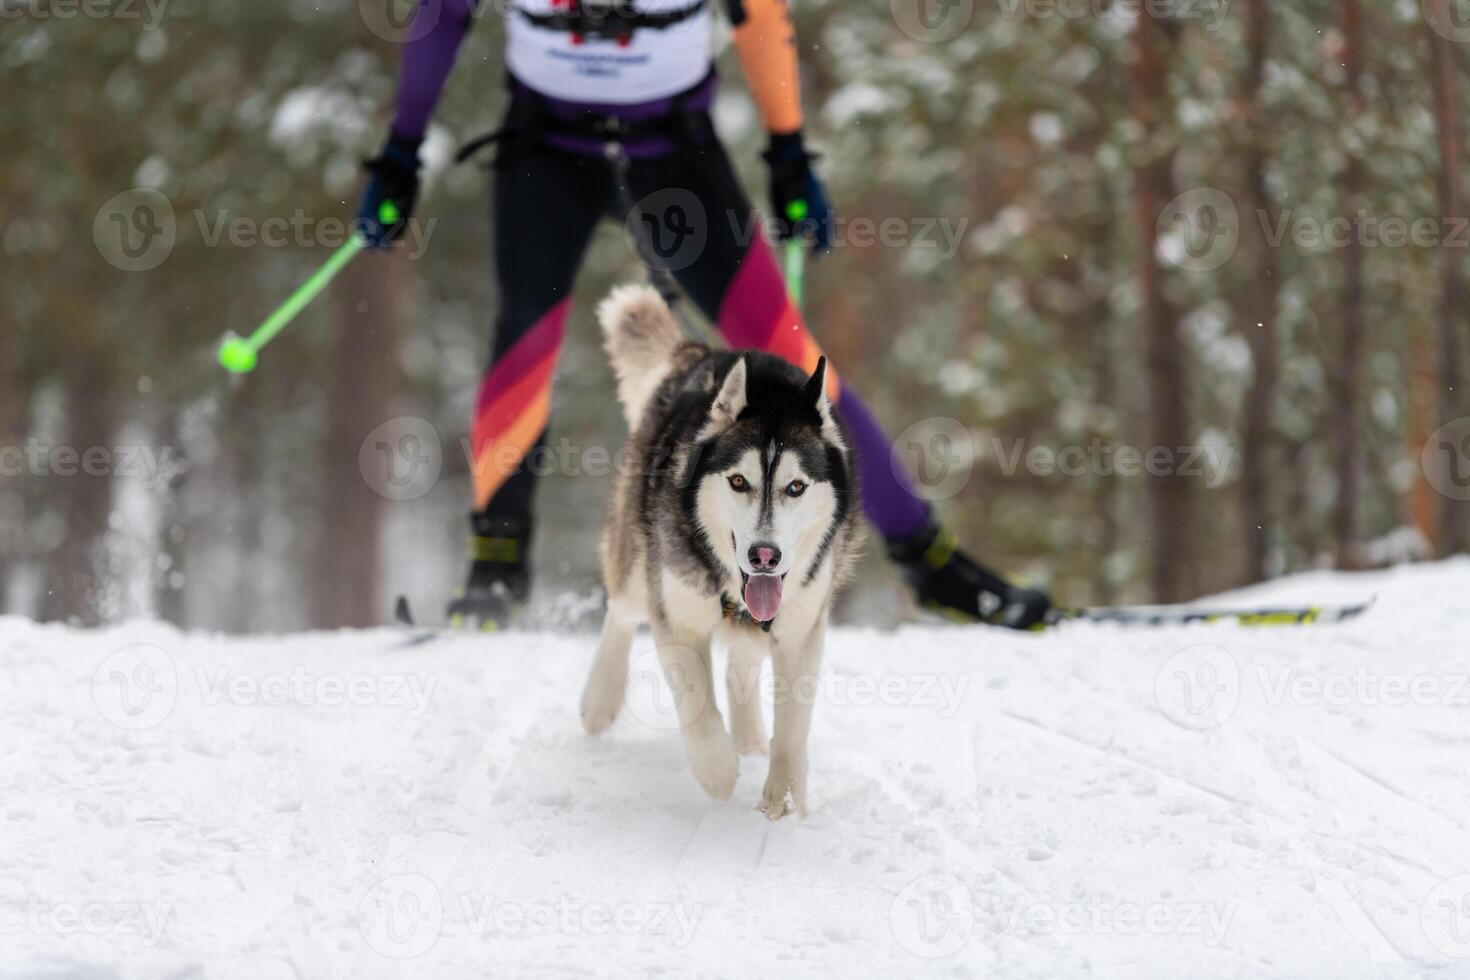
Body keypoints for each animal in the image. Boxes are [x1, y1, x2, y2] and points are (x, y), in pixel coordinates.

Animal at [579, 285, 858, 822]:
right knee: (621, 610)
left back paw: (750, 740)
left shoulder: (801, 630)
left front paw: (783, 796)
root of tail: (700, 353)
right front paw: (719, 772)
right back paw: (600, 699)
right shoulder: (678, 616)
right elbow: (698, 707)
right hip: (640, 560)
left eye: (796, 486)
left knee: (743, 662)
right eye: (738, 481)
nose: (765, 556)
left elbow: (793, 726)